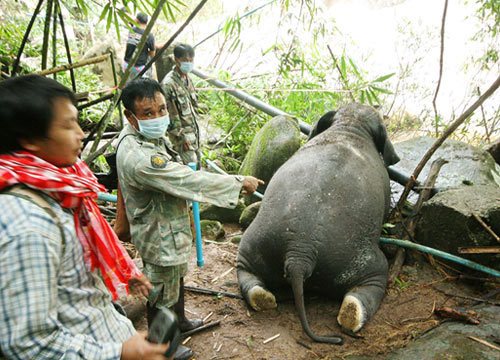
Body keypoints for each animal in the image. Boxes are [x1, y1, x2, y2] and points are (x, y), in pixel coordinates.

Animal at [236, 102, 400, 344]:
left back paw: (265, 299)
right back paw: (351, 317)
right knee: (372, 281)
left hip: (254, 241)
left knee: (249, 274)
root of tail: (299, 253)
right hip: (362, 259)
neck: (350, 126)